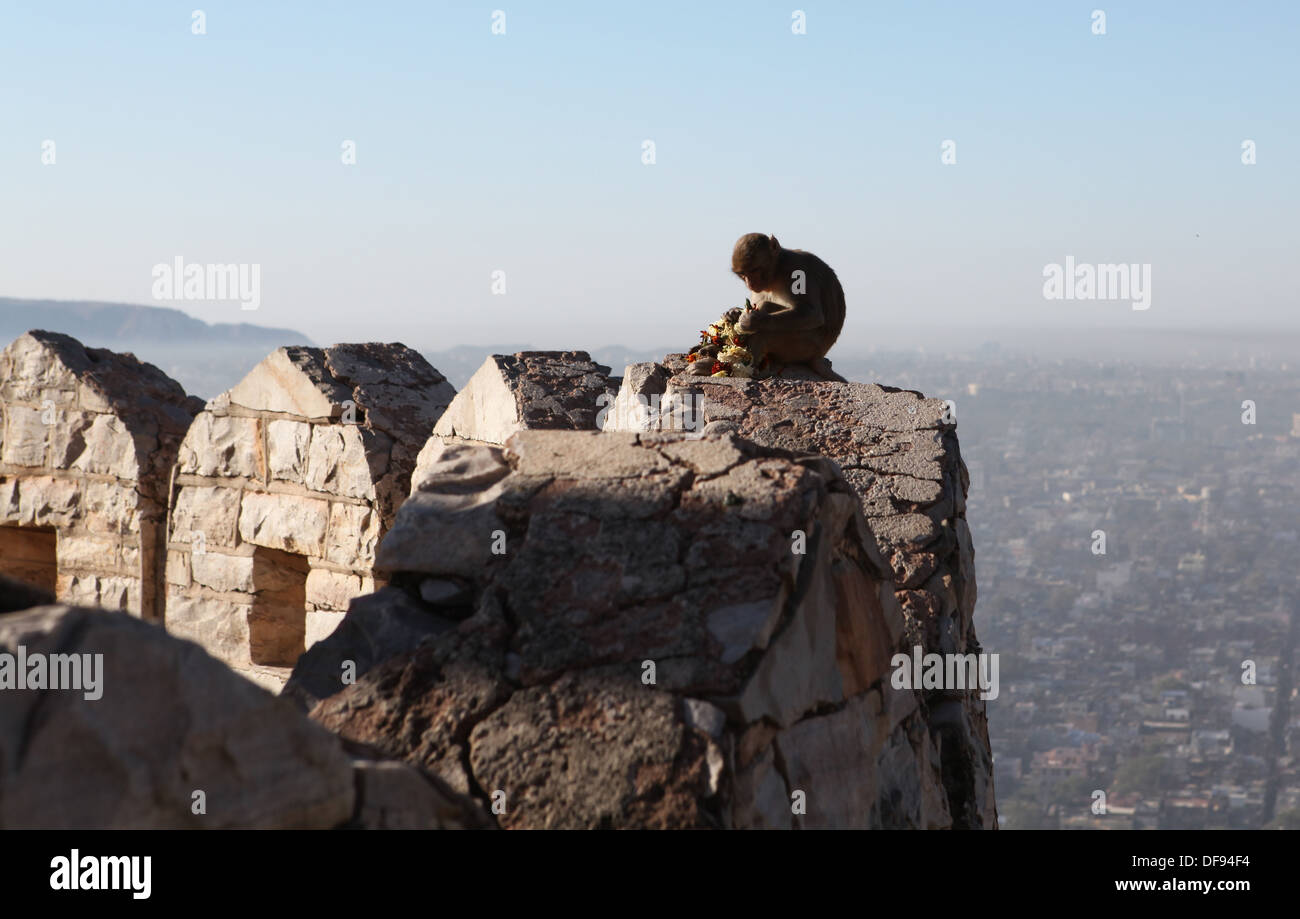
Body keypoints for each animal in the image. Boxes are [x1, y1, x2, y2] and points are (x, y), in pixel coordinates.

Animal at [733, 231, 842, 379]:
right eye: (742, 274)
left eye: (755, 270)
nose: (750, 284)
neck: (778, 270)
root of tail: (818, 355)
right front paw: (733, 312)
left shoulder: (796, 269)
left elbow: (813, 314)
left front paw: (752, 320)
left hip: (803, 347)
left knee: (765, 330)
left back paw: (754, 371)